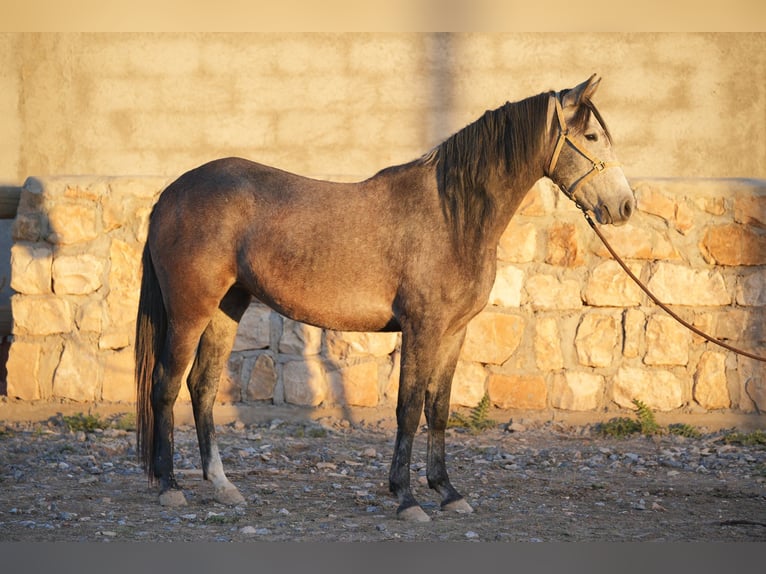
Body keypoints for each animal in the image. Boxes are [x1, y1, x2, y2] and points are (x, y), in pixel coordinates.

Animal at [135, 74, 635, 522]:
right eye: (591, 136)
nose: (625, 207)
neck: (452, 215)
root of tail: (170, 194)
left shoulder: (453, 333)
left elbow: (438, 408)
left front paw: (448, 492)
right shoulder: (422, 328)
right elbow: (408, 409)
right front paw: (407, 499)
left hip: (227, 307)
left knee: (202, 386)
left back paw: (223, 486)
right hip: (189, 311)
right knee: (165, 385)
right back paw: (170, 488)